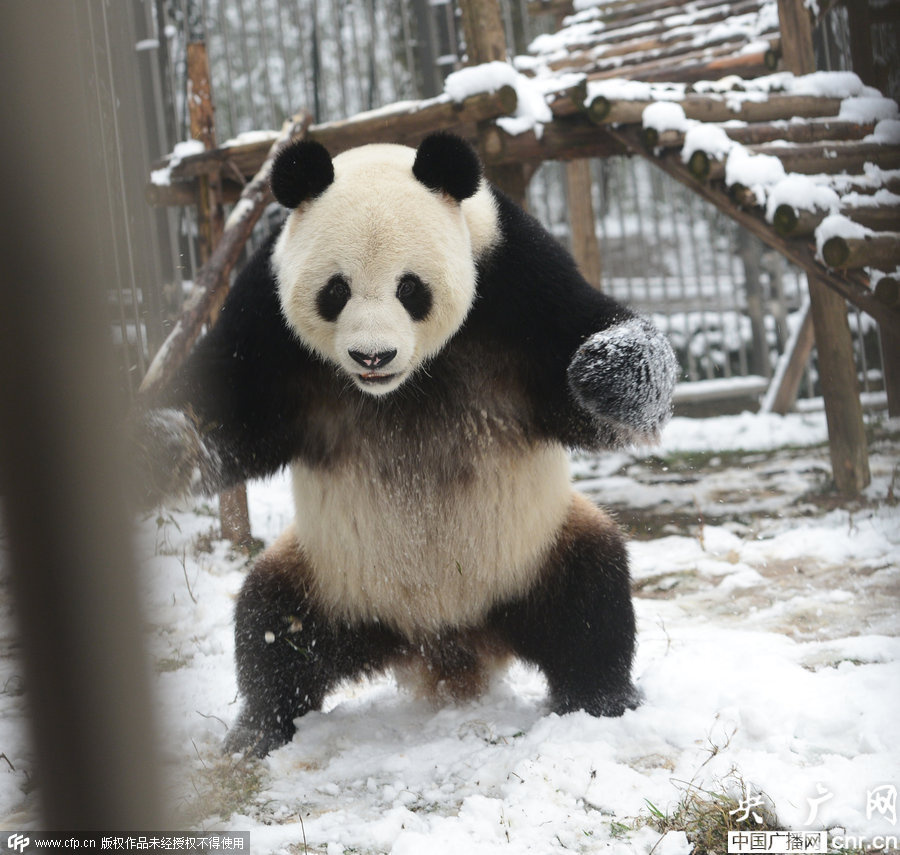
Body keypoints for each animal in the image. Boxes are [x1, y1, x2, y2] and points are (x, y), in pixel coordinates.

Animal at [141, 130, 676, 760]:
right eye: (335, 290)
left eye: (410, 288)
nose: (373, 356)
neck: (399, 388)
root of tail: (444, 643)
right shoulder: (266, 314)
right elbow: (229, 411)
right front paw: (161, 448)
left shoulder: (516, 278)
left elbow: (595, 369)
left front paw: (604, 371)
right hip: (332, 577)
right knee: (273, 627)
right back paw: (259, 729)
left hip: (534, 551)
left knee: (592, 603)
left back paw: (601, 702)